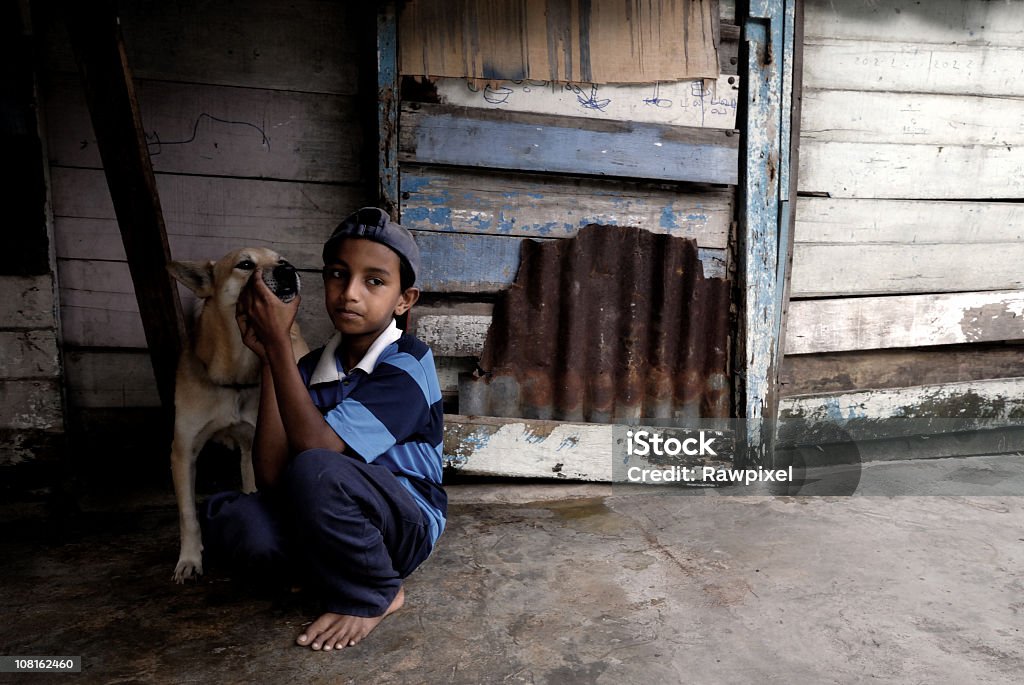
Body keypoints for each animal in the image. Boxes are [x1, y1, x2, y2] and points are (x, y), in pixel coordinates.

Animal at [163, 248, 305, 581]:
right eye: (245, 264)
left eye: (280, 259)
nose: (288, 269)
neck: (234, 374)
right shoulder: (183, 451)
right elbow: (188, 514)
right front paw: (189, 559)